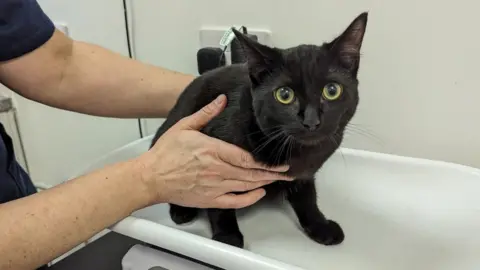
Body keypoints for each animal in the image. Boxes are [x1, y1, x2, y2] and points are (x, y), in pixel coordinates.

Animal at [152, 13, 370, 249]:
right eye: (284, 95)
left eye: (332, 90)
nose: (311, 121)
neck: (298, 152)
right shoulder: (213, 160)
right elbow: (219, 203)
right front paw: (227, 237)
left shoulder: (304, 173)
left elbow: (308, 198)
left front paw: (320, 225)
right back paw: (182, 210)